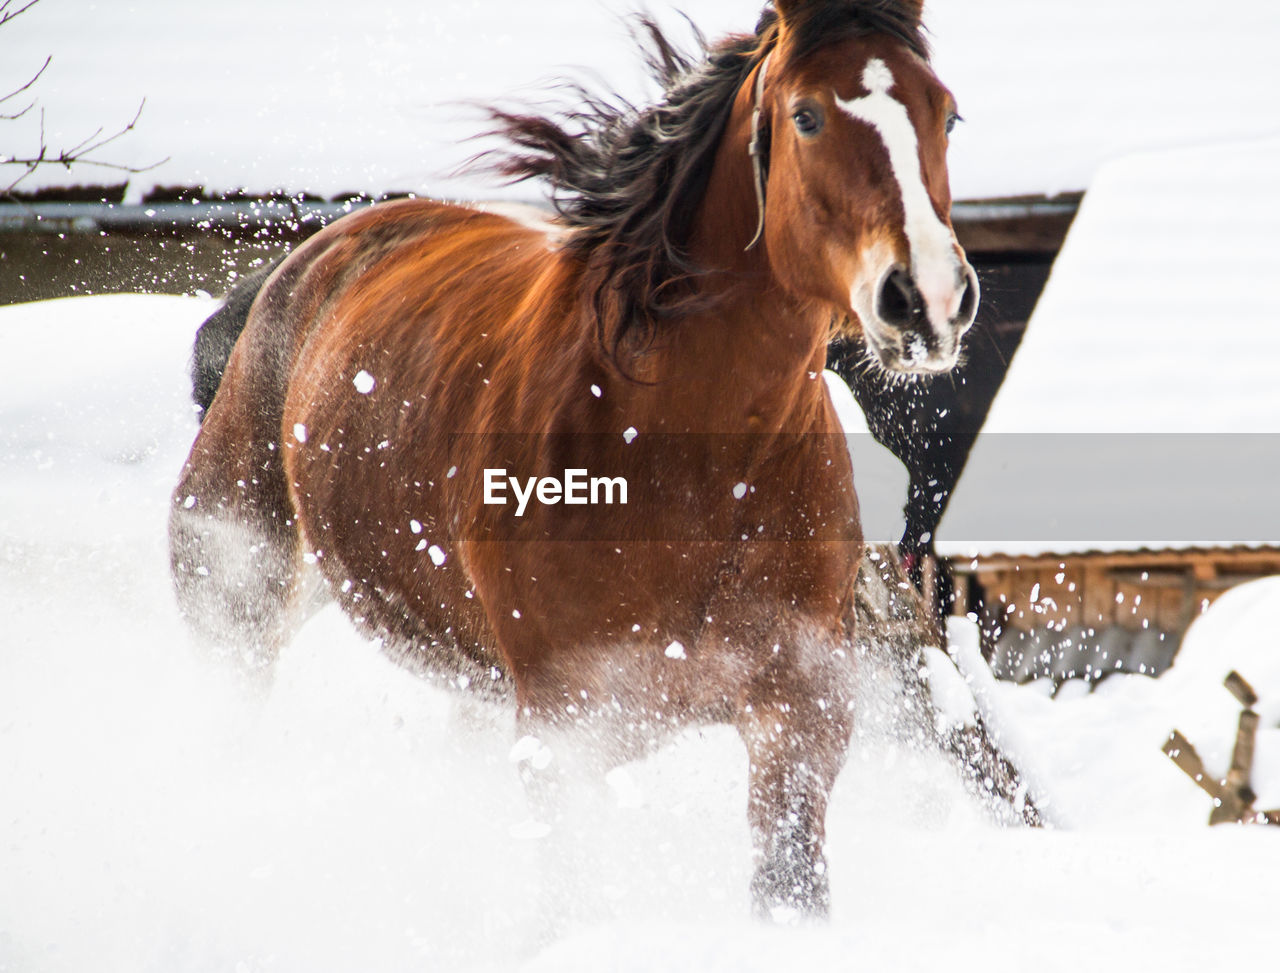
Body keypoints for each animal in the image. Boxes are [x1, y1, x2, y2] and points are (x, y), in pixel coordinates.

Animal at [167, 0, 967, 921]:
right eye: (805, 115)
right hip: (240, 602)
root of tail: (296, 273)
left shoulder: (800, 714)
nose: (929, 300)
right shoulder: (567, 726)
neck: (695, 474)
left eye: (947, 112)